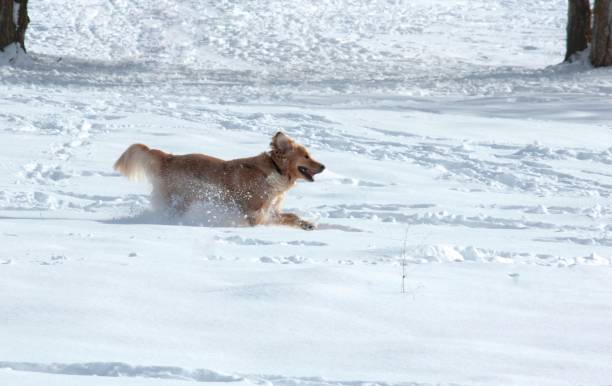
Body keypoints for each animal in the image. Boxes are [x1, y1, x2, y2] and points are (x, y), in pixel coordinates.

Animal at [114, 132, 326, 229]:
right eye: (306, 156)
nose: (324, 166)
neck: (276, 170)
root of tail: (168, 157)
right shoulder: (254, 212)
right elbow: (265, 220)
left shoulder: (272, 208)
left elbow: (292, 216)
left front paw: (307, 224)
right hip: (179, 201)